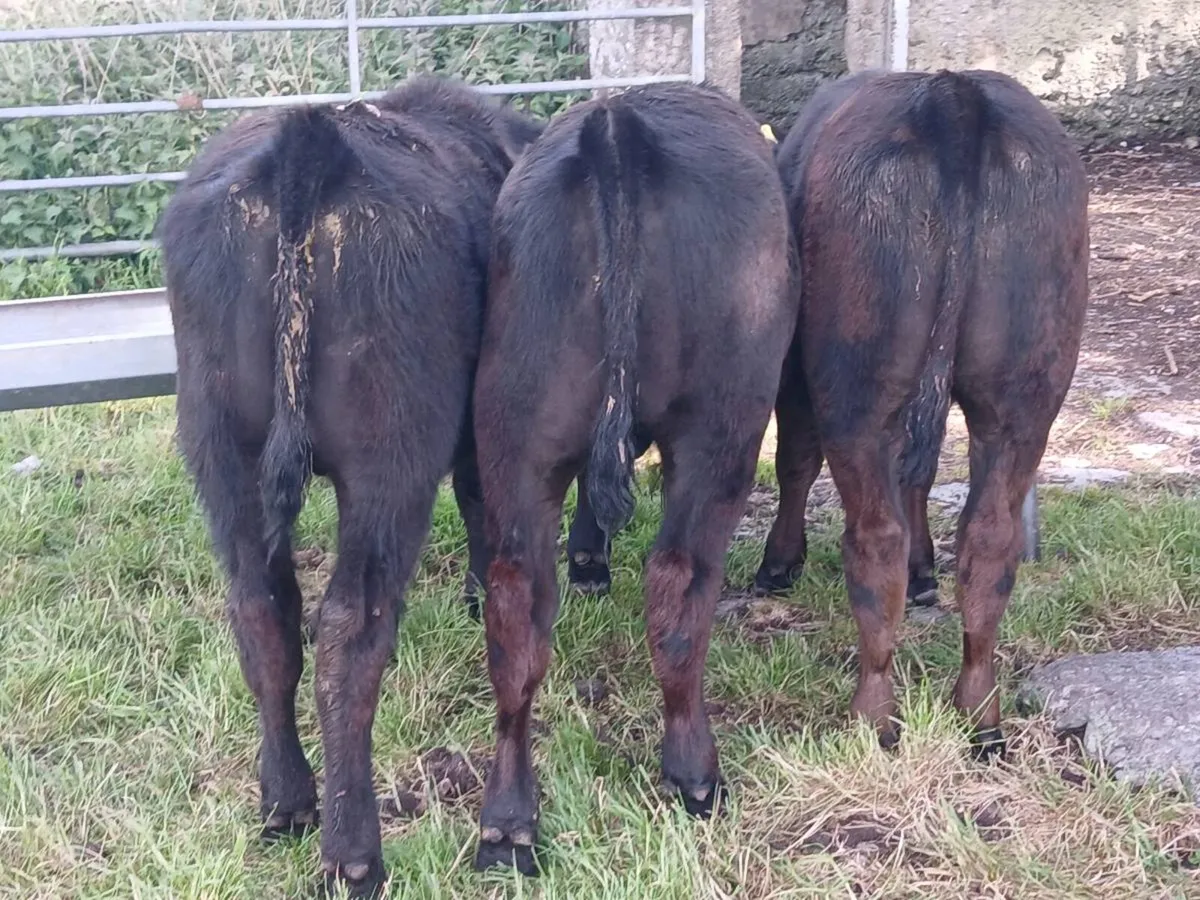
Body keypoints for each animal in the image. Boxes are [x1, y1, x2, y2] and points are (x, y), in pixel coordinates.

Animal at [158, 76, 542, 898]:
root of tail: (309, 146)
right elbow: (478, 498)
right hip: (388, 461)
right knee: (350, 629)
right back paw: (353, 851)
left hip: (219, 446)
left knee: (262, 609)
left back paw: (287, 801)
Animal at [470, 81, 796, 874]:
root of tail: (617, 122)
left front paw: (589, 560)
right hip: (723, 428)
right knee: (679, 585)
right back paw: (694, 775)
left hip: (516, 434)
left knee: (515, 612)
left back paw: (507, 823)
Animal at [753, 69, 1088, 756]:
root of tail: (952, 94)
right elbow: (919, 474)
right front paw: (925, 567)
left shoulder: (794, 369)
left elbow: (796, 460)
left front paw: (780, 561)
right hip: (1027, 390)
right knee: (989, 539)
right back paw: (980, 715)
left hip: (856, 384)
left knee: (874, 539)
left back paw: (873, 718)